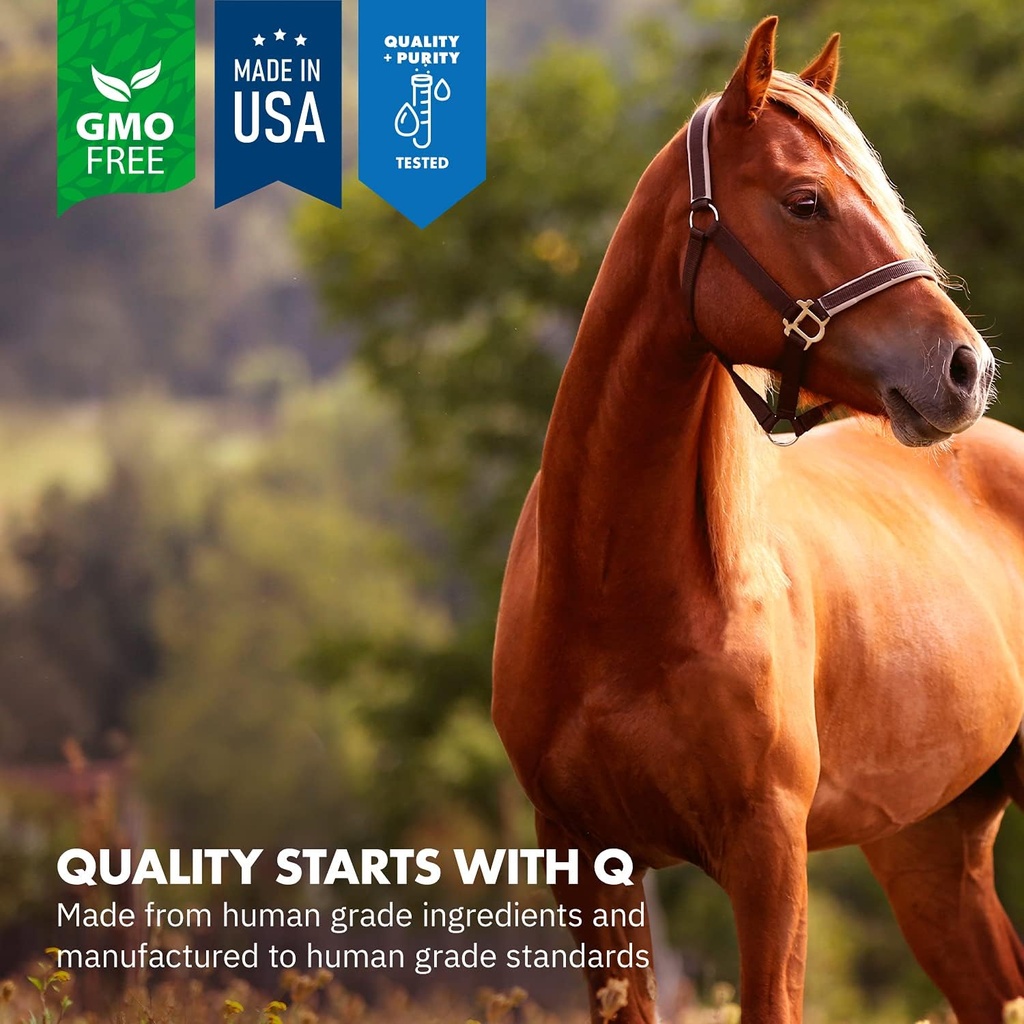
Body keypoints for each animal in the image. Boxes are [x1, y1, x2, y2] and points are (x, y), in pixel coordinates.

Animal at [492, 17, 1024, 1024]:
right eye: (805, 201)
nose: (965, 369)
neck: (619, 598)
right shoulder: (586, 860)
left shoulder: (768, 855)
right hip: (929, 843)